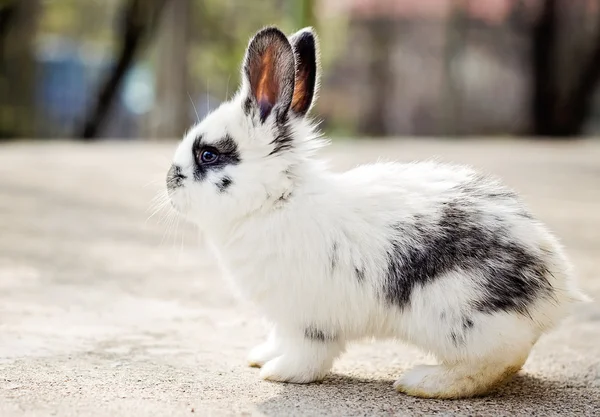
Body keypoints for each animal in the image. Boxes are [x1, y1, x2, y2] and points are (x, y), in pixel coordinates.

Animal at [166, 26, 588, 400]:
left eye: (208, 155)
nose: (170, 183)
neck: (277, 200)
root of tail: (556, 289)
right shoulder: (282, 319)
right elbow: (278, 339)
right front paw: (261, 357)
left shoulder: (308, 320)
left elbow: (308, 355)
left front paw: (279, 373)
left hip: (456, 313)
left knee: (496, 361)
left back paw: (423, 382)